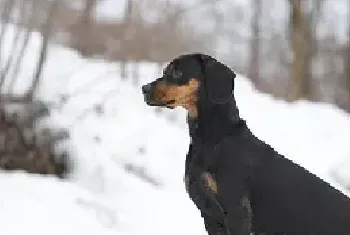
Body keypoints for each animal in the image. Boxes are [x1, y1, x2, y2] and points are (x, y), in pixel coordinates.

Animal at [141, 53, 350, 235]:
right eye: (166, 70)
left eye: (177, 72)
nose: (144, 89)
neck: (213, 139)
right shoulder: (210, 218)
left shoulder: (237, 213)